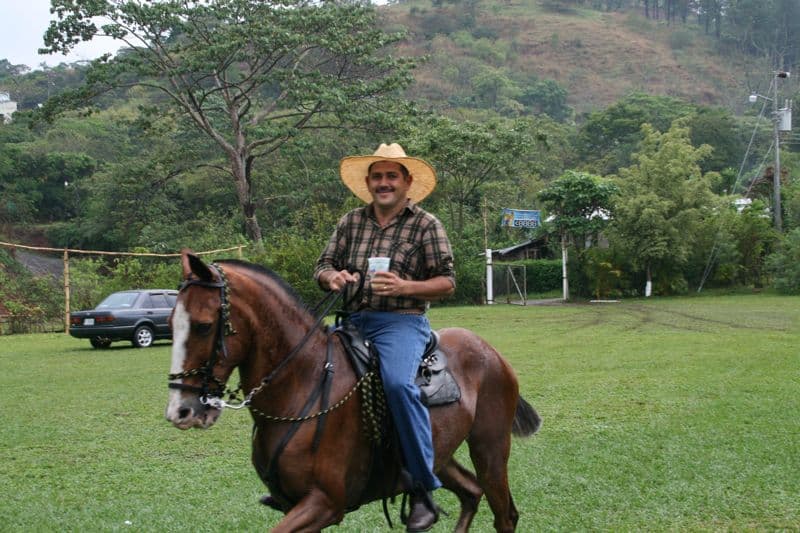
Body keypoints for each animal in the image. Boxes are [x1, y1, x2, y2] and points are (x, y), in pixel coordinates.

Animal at [166, 251, 540, 528]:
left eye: (203, 326)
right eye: (171, 323)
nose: (180, 410)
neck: (302, 383)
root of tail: (491, 352)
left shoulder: (325, 503)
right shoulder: (295, 505)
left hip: (490, 449)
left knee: (505, 514)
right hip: (440, 457)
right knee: (470, 493)